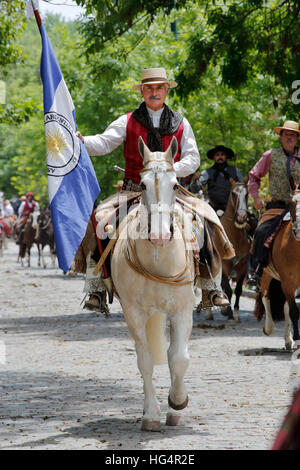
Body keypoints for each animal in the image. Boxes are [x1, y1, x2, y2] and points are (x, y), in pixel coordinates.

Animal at [110, 135, 197, 430]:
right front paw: (151, 414)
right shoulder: (133, 313)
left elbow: (179, 358)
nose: (159, 236)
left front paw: (177, 402)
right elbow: (145, 360)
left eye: (175, 184)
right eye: (144, 184)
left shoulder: (182, 310)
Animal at [253, 190, 300, 348]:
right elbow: (294, 311)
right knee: (265, 296)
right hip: (267, 274)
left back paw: (288, 340)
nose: (298, 231)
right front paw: (298, 339)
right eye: (291, 203)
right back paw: (269, 328)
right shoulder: (288, 281)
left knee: (284, 306)